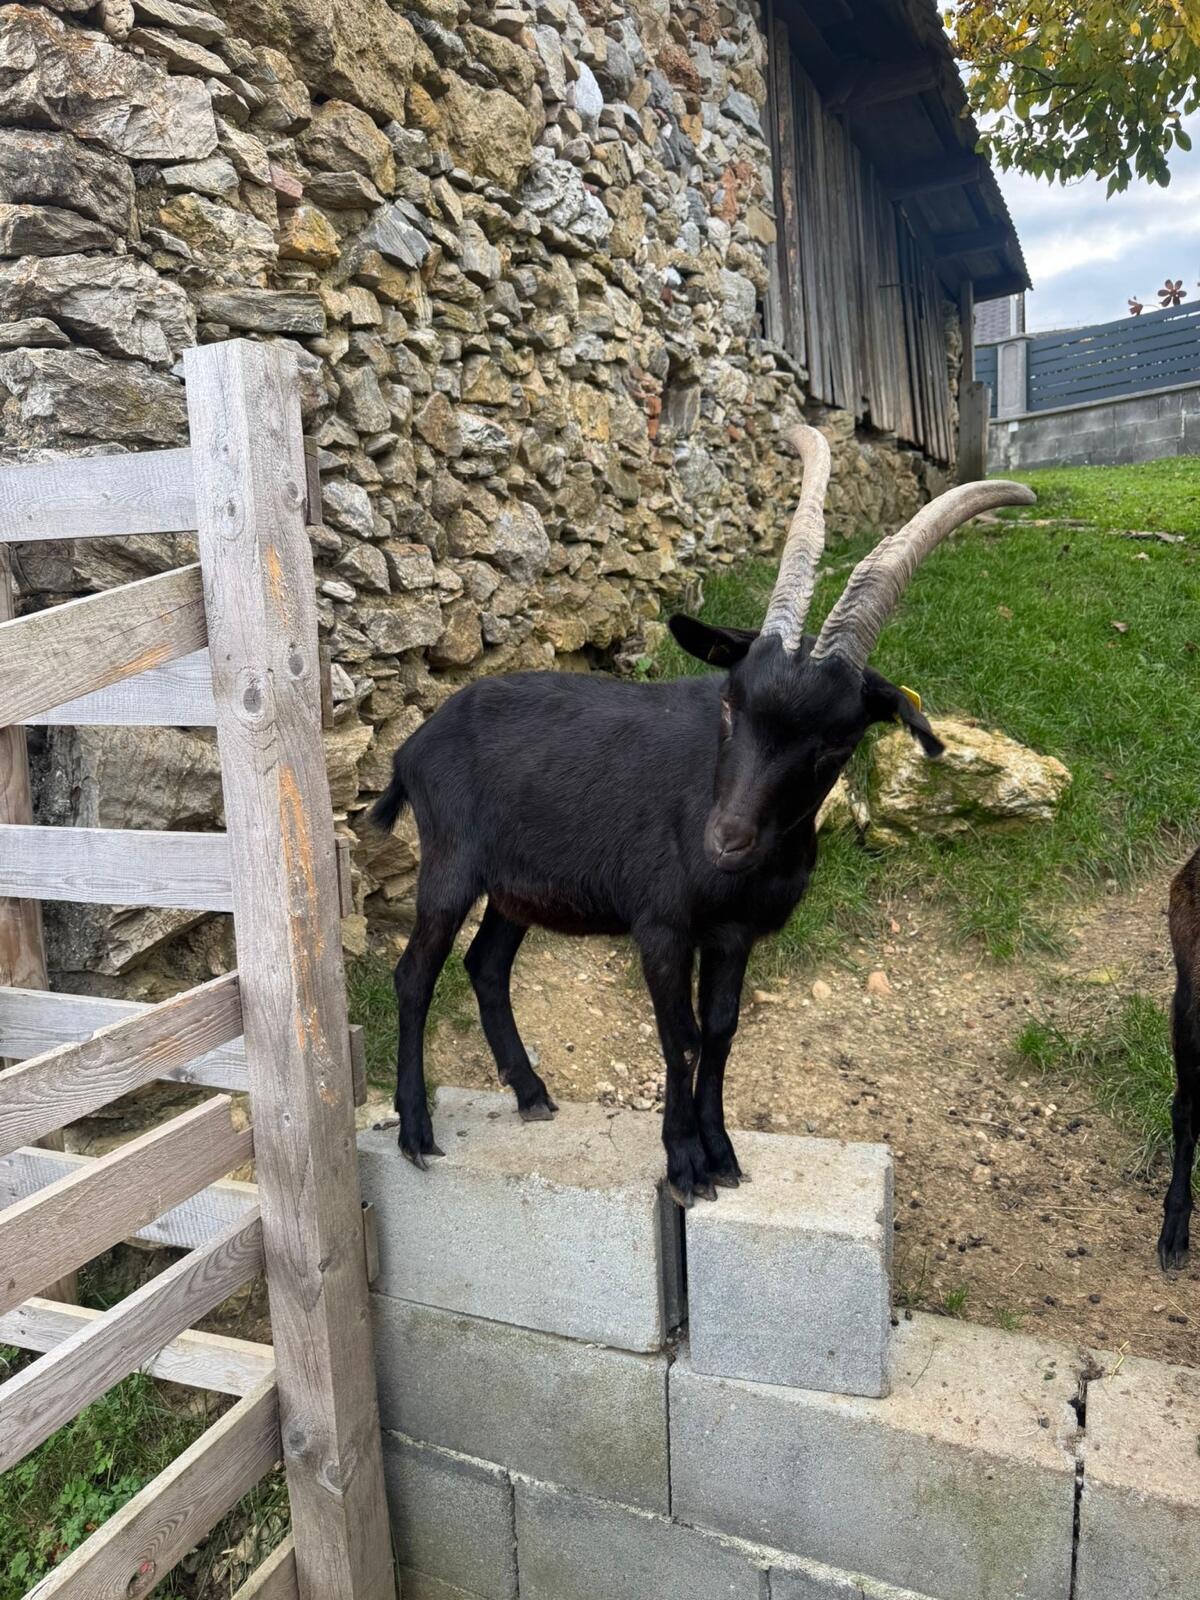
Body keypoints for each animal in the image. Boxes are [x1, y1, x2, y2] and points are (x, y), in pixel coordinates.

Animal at [372, 428, 1035, 1204]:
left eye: (835, 742)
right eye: (728, 704)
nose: (724, 841)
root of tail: (413, 745)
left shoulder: (733, 934)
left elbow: (720, 1032)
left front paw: (721, 1154)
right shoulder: (663, 924)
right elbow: (679, 1034)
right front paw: (685, 1163)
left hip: (520, 886)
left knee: (485, 965)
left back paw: (531, 1092)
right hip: (450, 865)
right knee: (414, 976)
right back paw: (417, 1131)